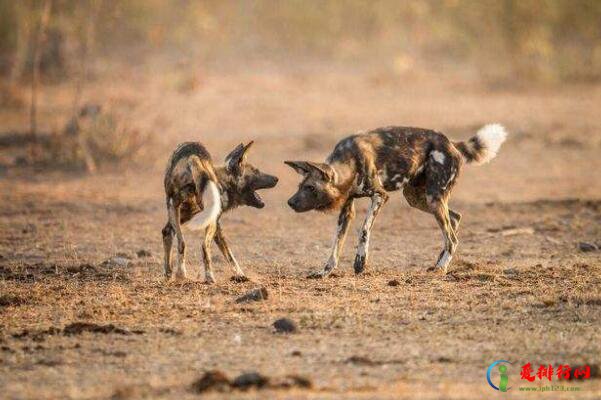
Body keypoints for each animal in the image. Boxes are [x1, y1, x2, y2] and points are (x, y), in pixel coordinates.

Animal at [163, 141, 278, 282]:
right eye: (256, 171)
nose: (276, 178)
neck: (224, 183)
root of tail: (193, 157)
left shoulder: (189, 216)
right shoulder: (215, 223)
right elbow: (229, 254)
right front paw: (240, 275)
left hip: (174, 208)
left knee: (178, 240)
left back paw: (177, 274)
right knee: (204, 246)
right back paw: (208, 277)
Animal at [286, 123, 506, 276]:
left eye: (310, 187)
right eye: (299, 186)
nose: (290, 202)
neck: (348, 164)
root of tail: (450, 143)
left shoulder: (380, 196)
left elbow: (364, 230)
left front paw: (360, 262)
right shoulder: (346, 210)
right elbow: (336, 244)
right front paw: (325, 271)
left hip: (433, 199)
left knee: (452, 237)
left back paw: (441, 268)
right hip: (417, 198)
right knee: (455, 218)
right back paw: (438, 262)